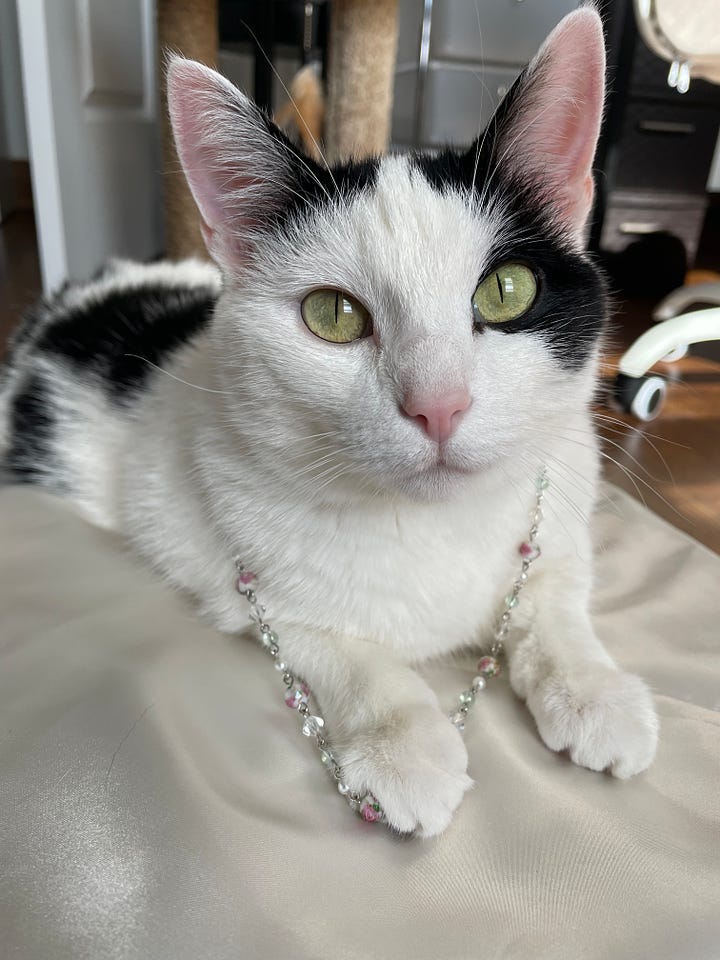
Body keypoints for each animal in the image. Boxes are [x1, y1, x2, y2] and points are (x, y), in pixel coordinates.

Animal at [0, 5, 660, 832]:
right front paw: (405, 744)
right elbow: (339, 647)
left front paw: (591, 689)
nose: (438, 403)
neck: (437, 528)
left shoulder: (565, 506)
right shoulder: (241, 584)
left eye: (506, 291)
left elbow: (554, 598)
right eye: (333, 315)